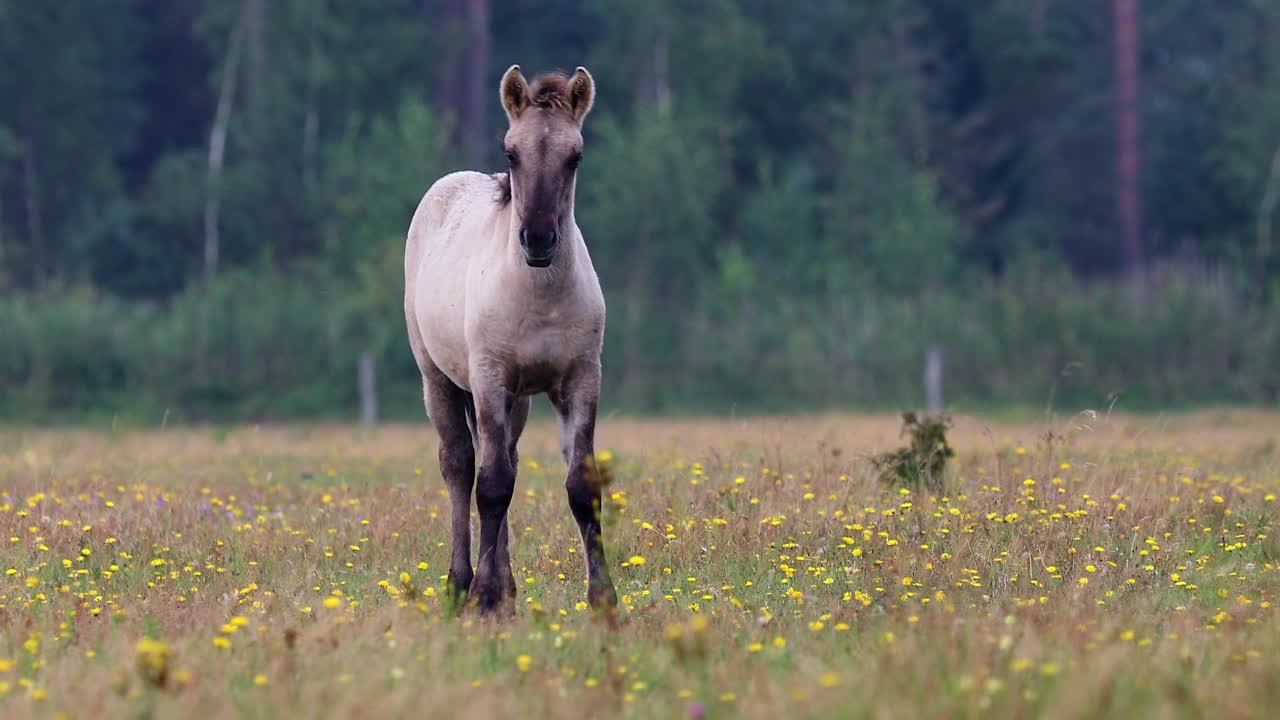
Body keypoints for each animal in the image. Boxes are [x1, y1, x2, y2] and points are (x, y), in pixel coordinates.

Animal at [401, 65, 616, 609]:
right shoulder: (489, 378)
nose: (537, 240)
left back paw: (506, 585)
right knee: (461, 466)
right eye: (510, 153)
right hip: (440, 380)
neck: (540, 295)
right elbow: (492, 486)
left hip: (517, 401)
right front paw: (481, 596)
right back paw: (461, 582)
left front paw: (603, 598)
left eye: (575, 156)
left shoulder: (580, 381)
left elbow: (581, 487)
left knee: (507, 459)